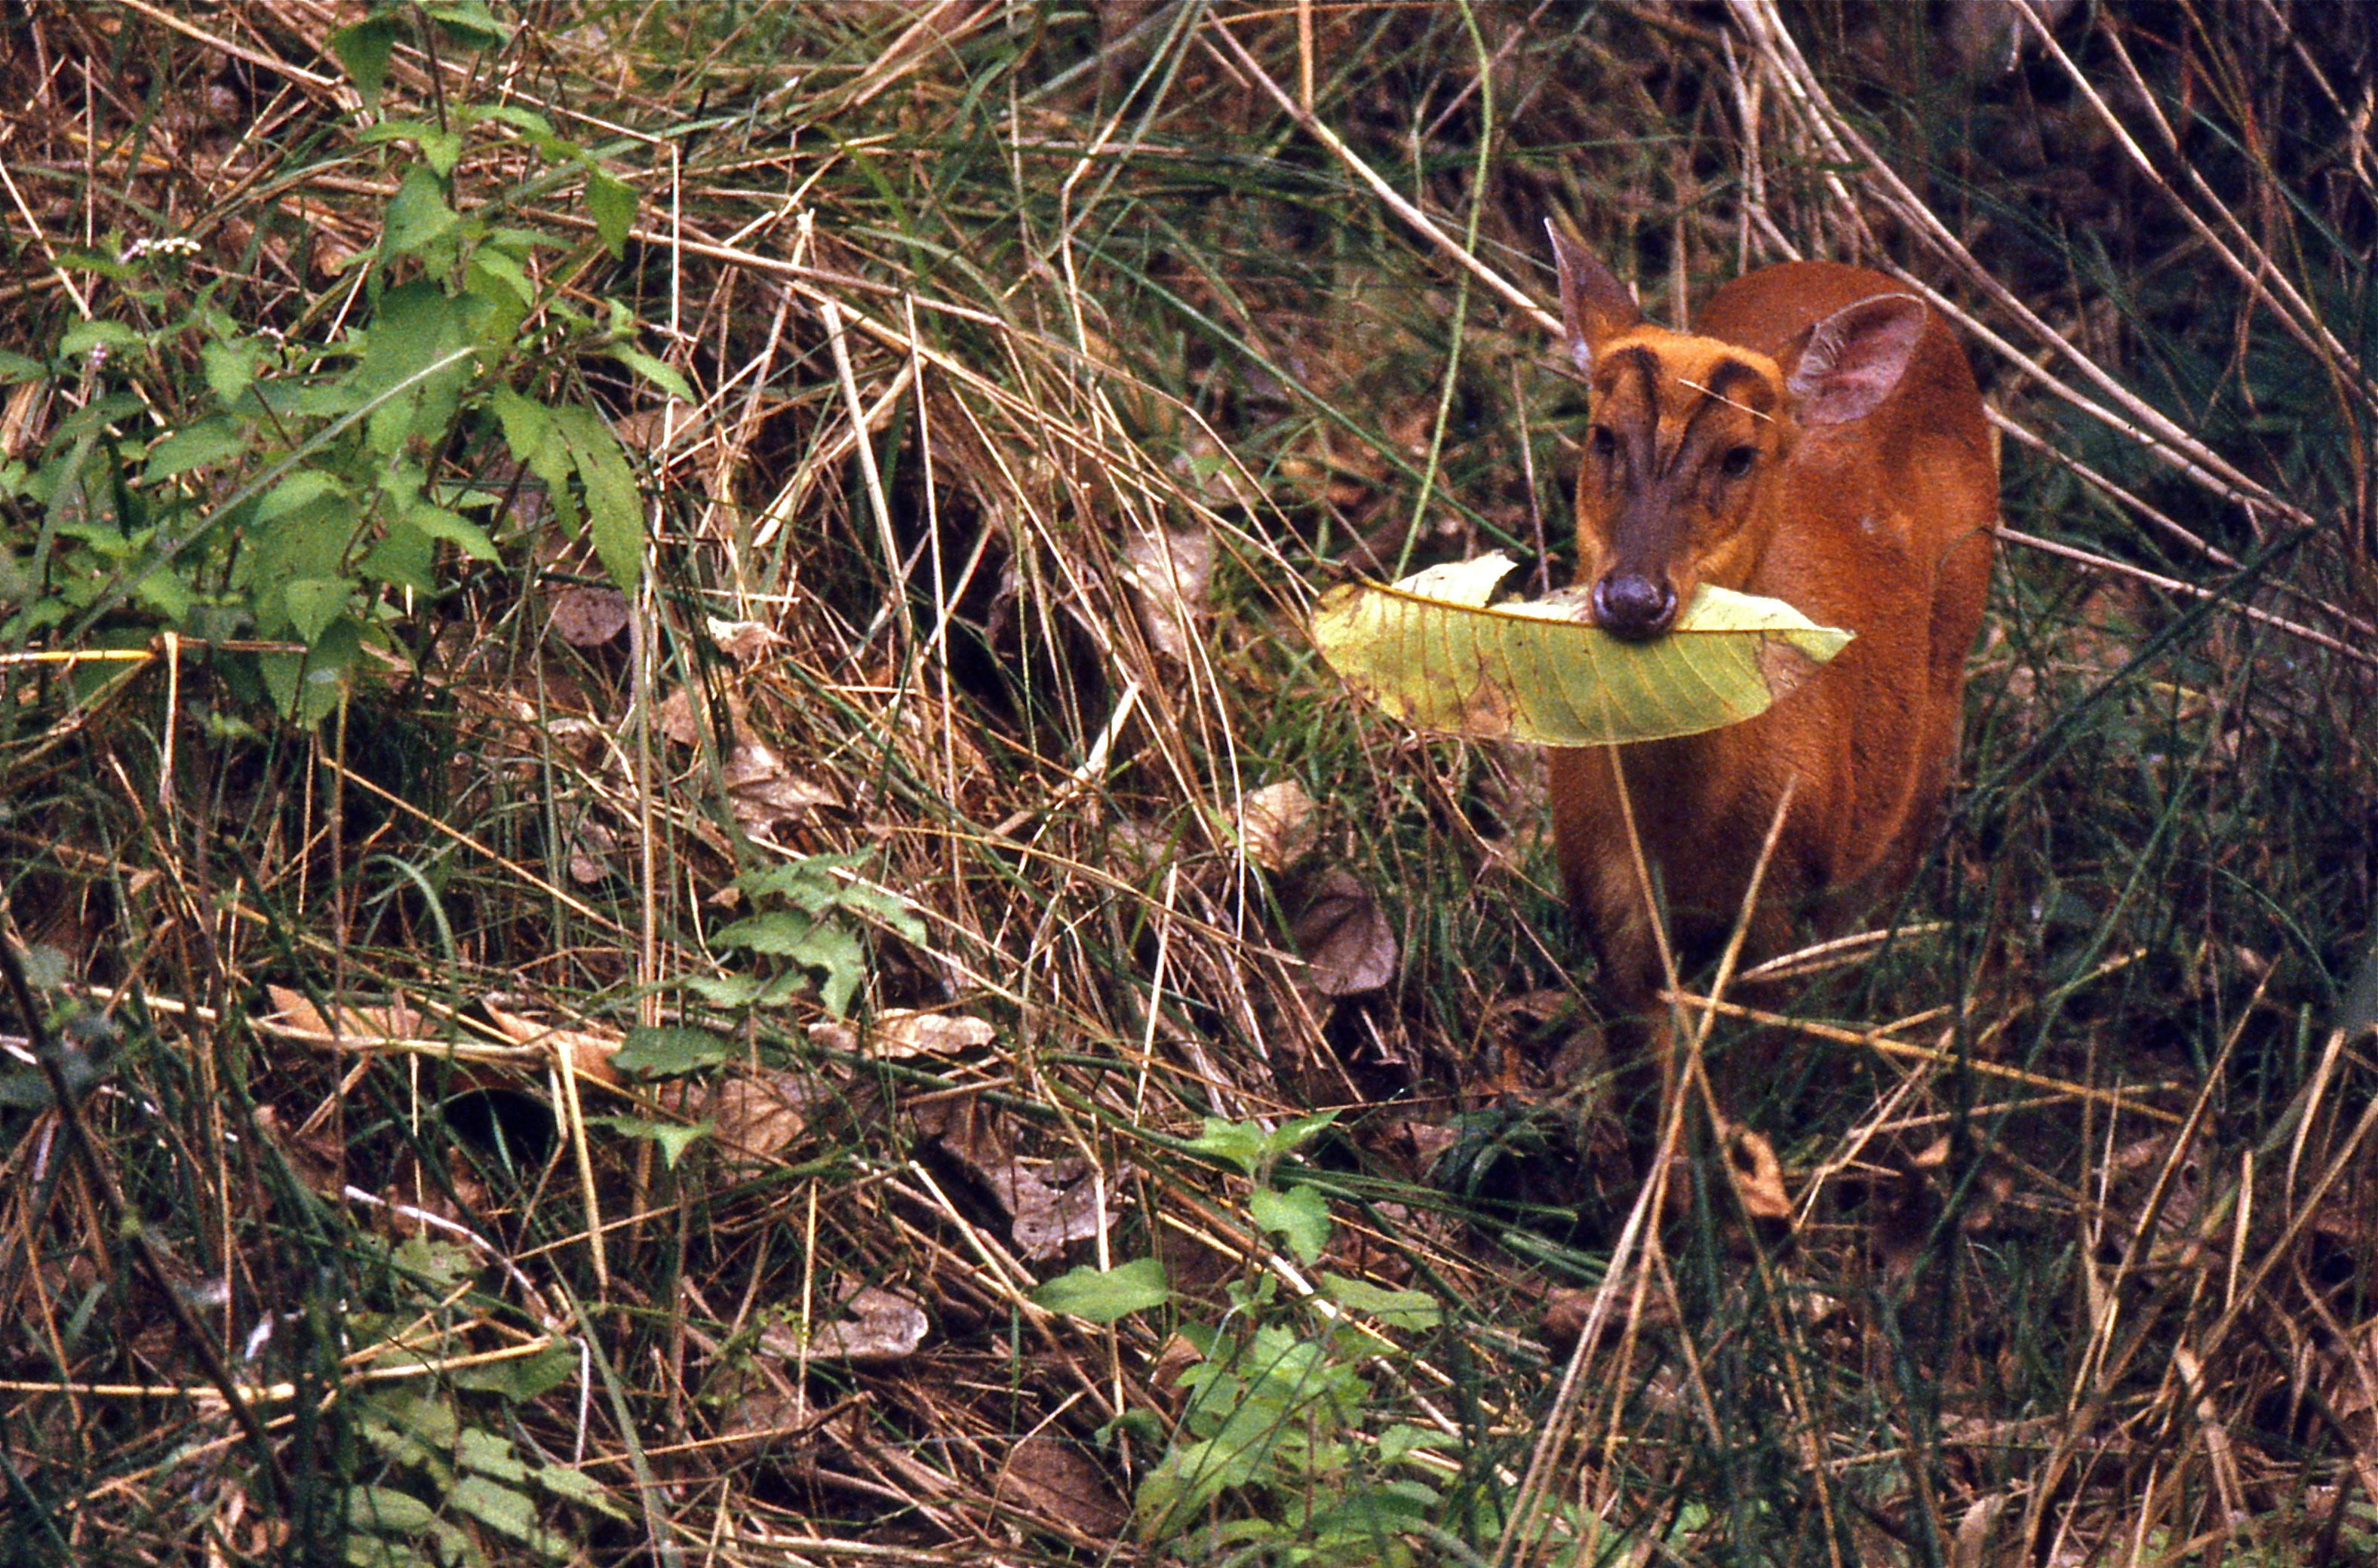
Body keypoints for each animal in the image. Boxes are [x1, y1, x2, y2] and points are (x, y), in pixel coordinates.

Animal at [1541, 226, 2007, 1168]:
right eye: (1601, 435)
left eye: (1738, 455)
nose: (1633, 598)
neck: (1678, 835)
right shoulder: (1603, 901)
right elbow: (1650, 1108)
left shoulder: (1776, 902)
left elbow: (1731, 1096)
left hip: (1944, 671)